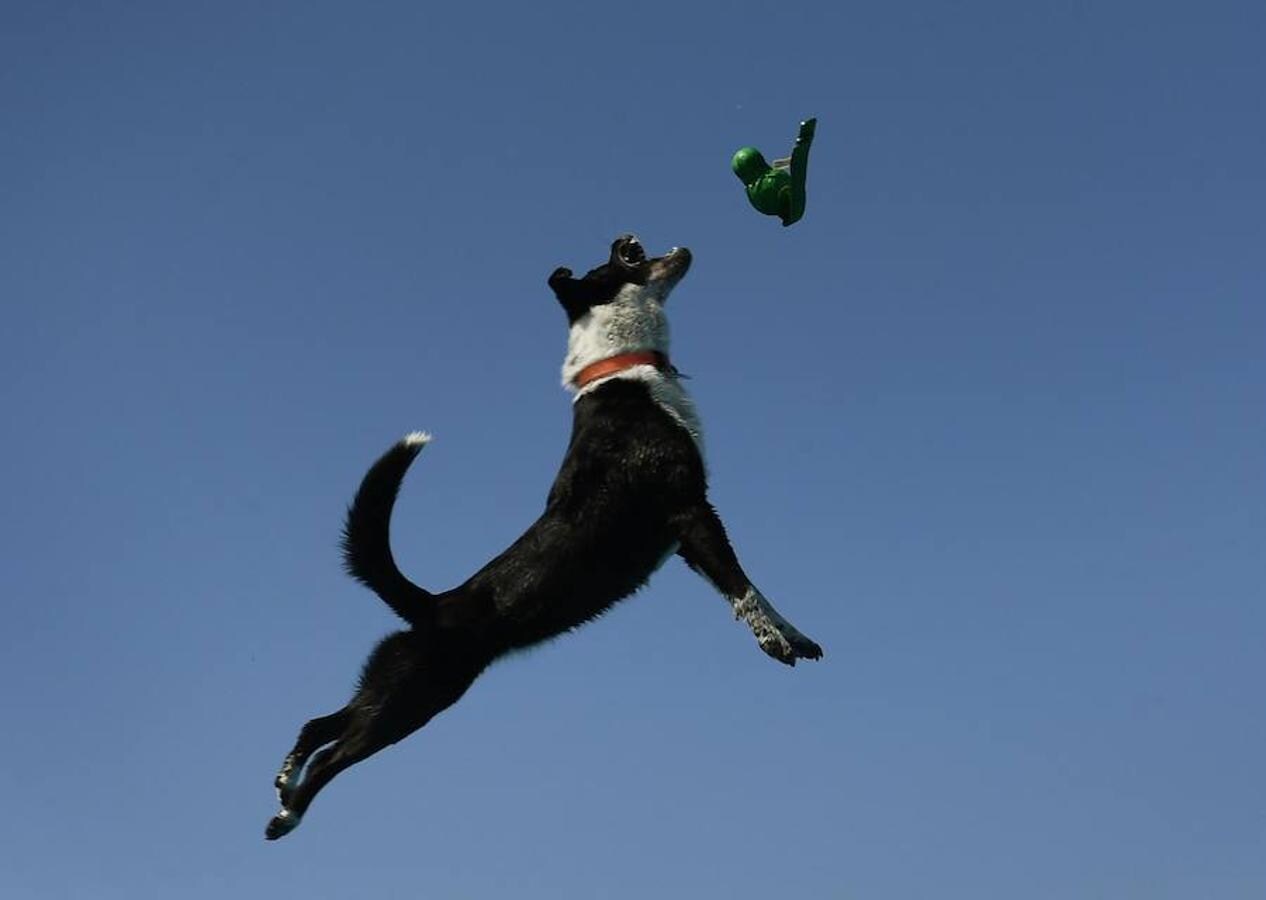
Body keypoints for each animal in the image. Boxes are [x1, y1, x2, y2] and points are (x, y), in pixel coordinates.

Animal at [265, 235, 820, 840]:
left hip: (389, 687)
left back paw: (284, 789)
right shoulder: (690, 513)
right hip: (411, 700)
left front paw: (797, 638)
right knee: (333, 755)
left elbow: (752, 589)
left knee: (318, 724)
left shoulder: (688, 538)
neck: (620, 371)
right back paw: (289, 814)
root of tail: (433, 604)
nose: (632, 239)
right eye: (623, 258)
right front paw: (774, 642)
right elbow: (742, 589)